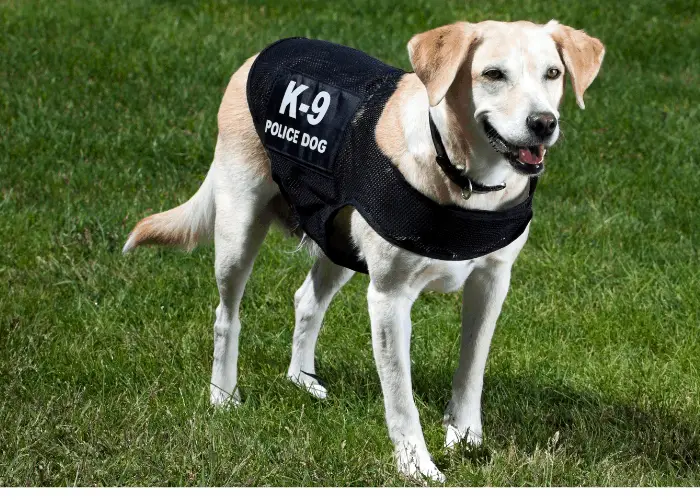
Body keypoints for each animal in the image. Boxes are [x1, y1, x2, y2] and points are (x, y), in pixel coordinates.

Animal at [120, 19, 600, 480]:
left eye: (553, 73)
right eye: (493, 74)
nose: (543, 123)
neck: (462, 175)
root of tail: (258, 54)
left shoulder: (492, 281)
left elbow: (471, 369)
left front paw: (465, 438)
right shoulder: (389, 298)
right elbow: (400, 395)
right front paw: (416, 466)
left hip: (338, 240)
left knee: (306, 301)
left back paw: (301, 379)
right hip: (238, 231)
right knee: (226, 316)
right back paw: (223, 395)